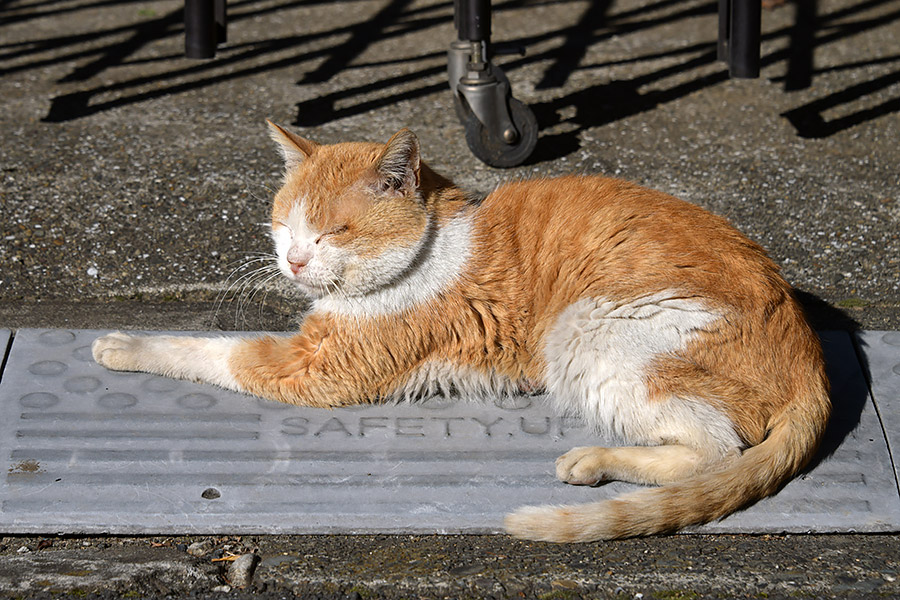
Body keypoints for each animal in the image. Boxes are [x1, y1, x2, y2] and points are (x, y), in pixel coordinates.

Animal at [91, 120, 828, 540]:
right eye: (284, 223)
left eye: (335, 231)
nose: (294, 260)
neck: (432, 240)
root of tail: (812, 359)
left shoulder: (315, 370)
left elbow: (208, 350)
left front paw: (122, 344)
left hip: (589, 329)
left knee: (716, 450)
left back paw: (593, 461)